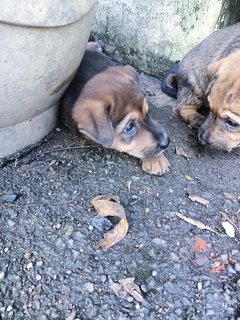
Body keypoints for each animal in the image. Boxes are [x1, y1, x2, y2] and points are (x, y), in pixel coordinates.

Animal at [160, 23, 240, 151]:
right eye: (211, 110)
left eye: (232, 123)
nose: (201, 140)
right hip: (196, 83)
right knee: (181, 107)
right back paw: (198, 119)